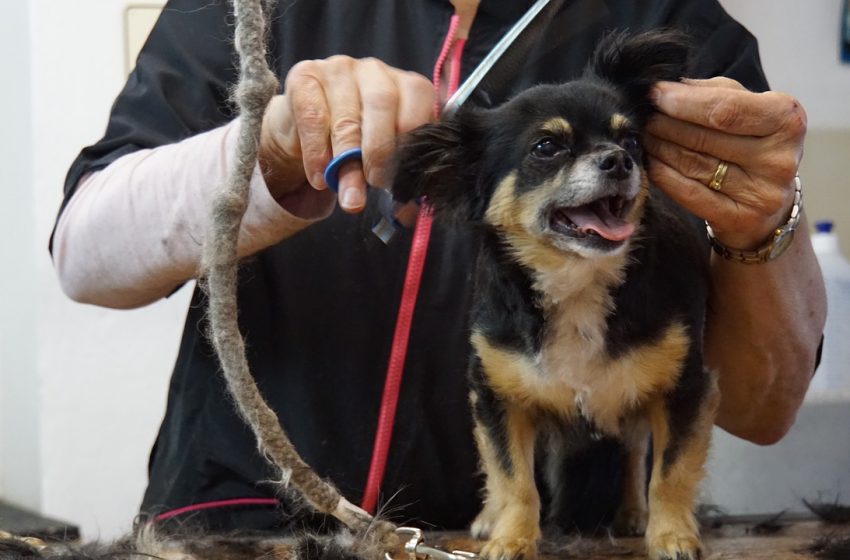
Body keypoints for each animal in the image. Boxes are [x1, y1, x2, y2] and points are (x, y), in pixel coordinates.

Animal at [390, 29, 716, 560]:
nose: (619, 160)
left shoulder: (684, 388)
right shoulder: (498, 398)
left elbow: (670, 472)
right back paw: (490, 519)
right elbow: (513, 479)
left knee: (633, 451)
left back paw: (633, 514)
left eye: (631, 140)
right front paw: (511, 538)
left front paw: (671, 535)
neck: (577, 280)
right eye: (547, 147)